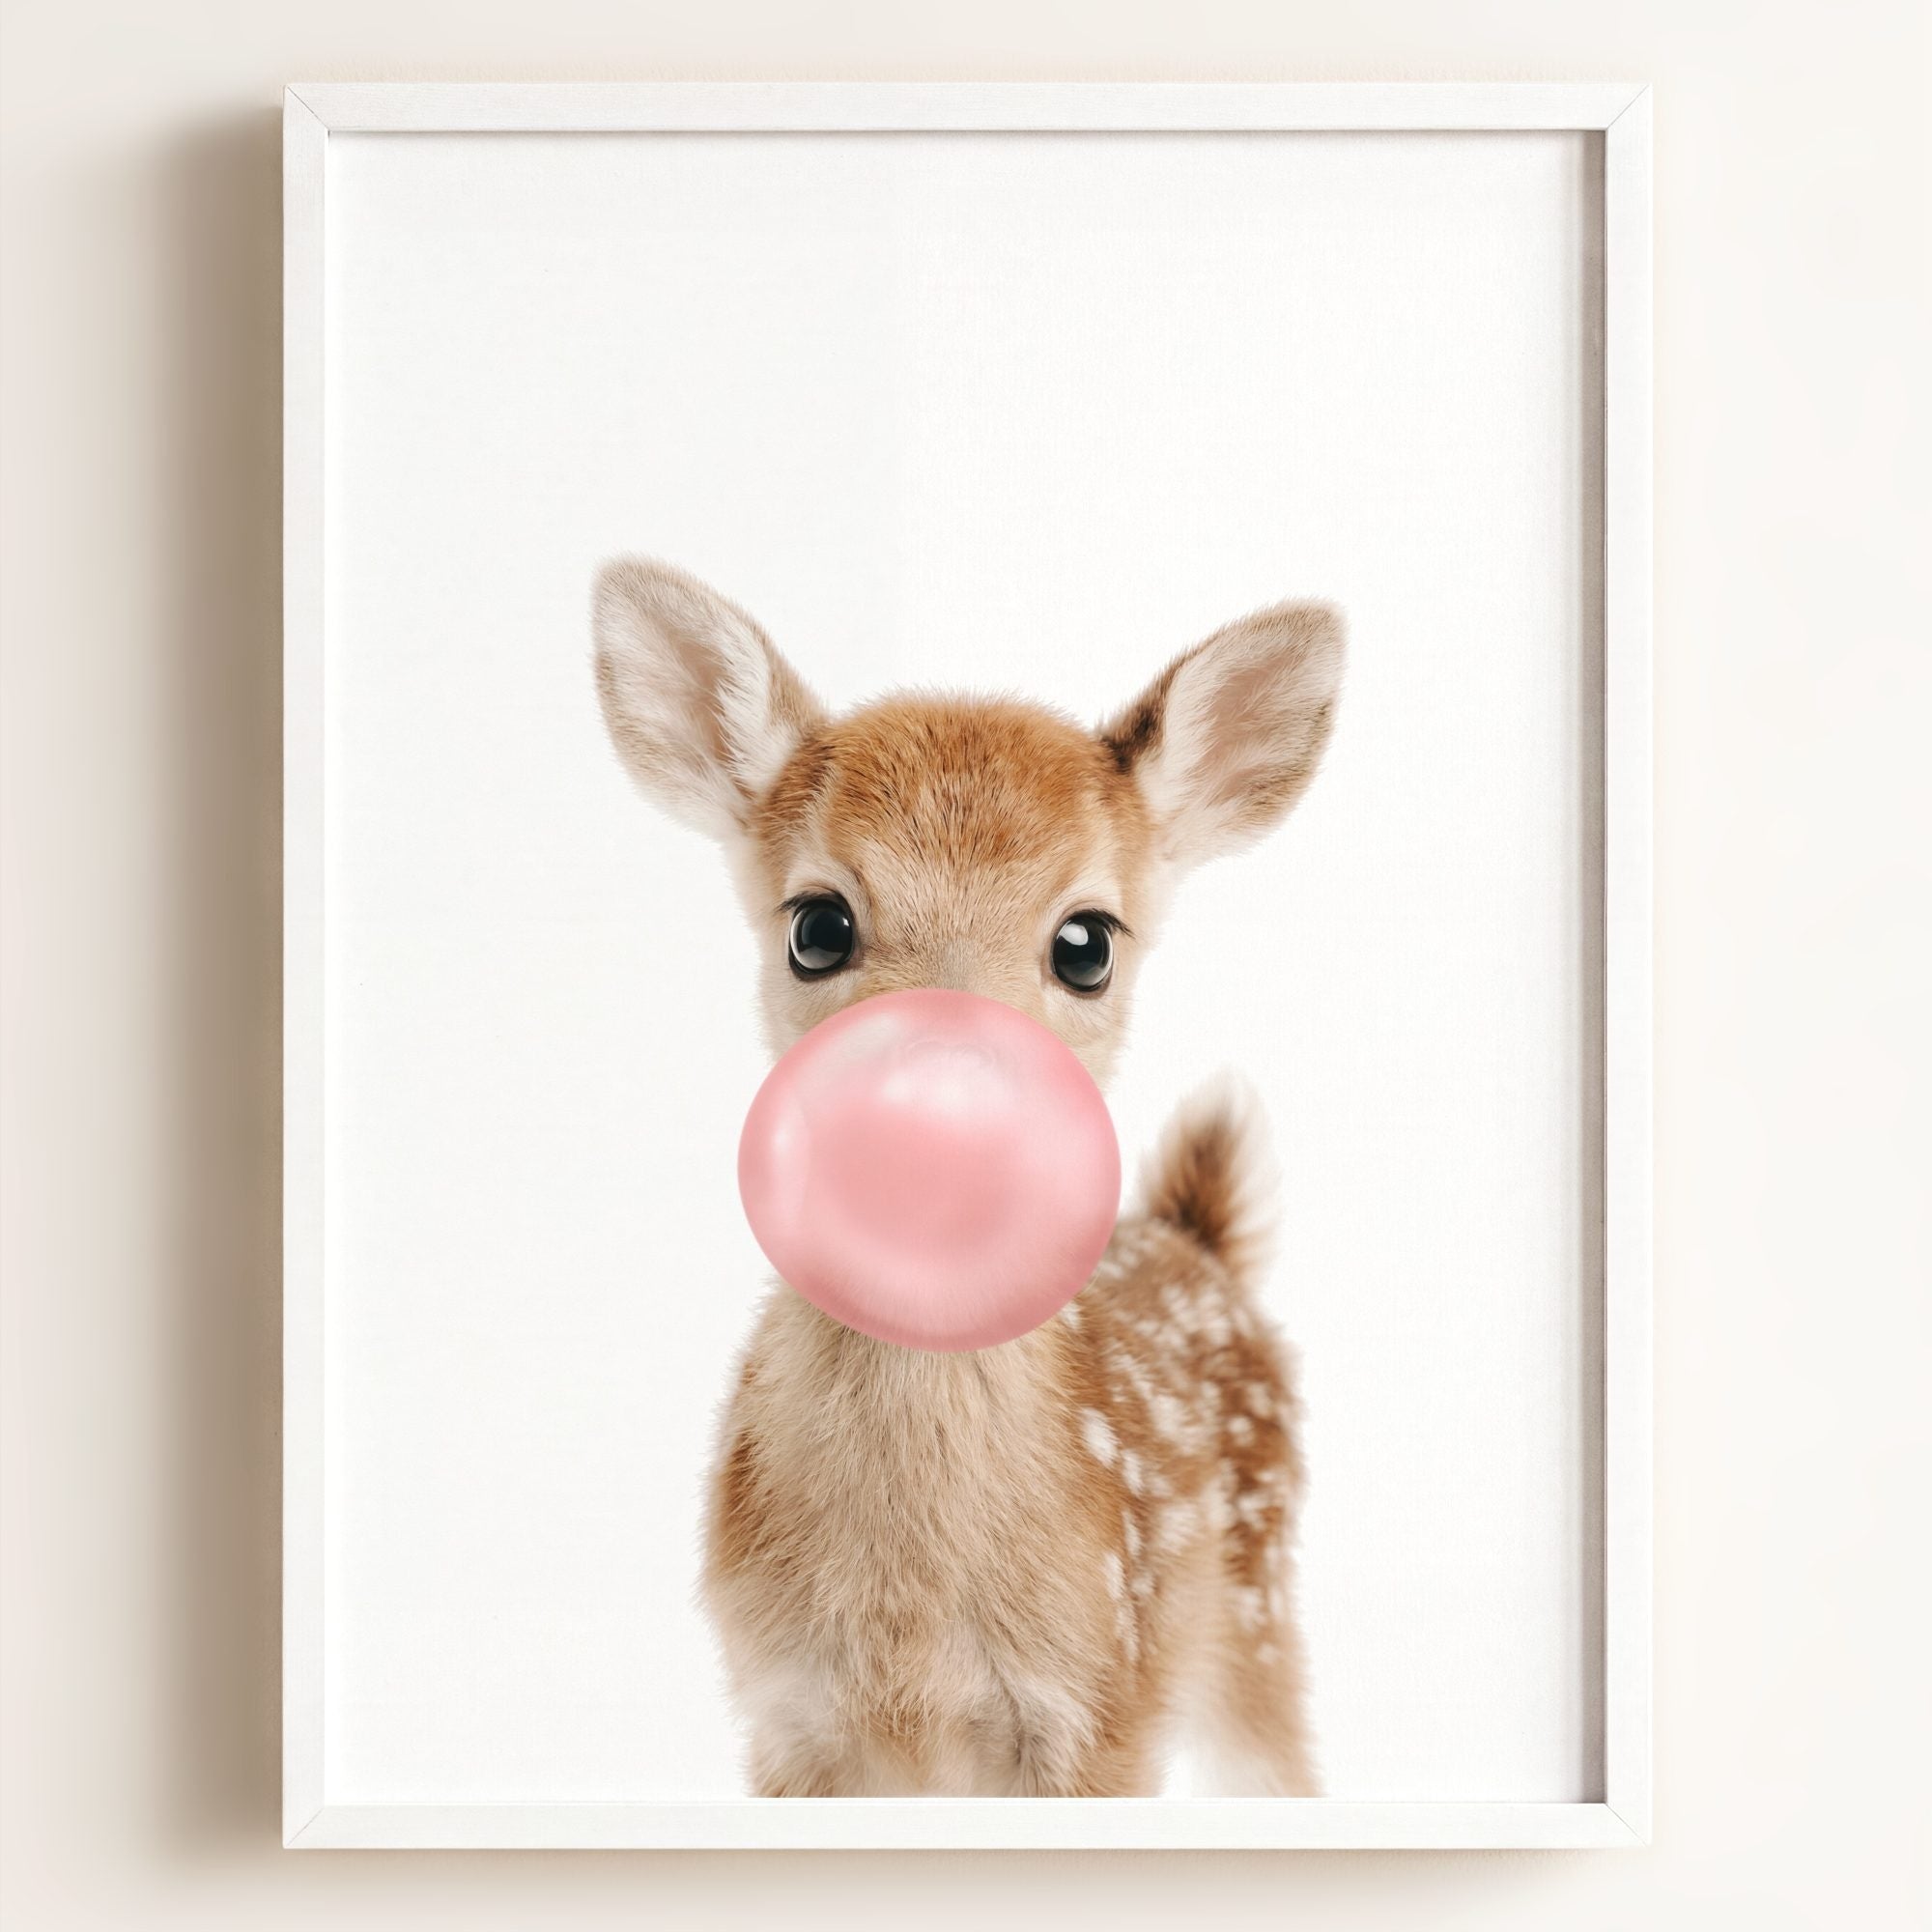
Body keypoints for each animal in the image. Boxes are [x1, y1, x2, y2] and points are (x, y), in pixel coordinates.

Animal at [593, 558, 1344, 1797]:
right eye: (817, 924)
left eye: (1086, 942)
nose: (942, 1101)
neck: (910, 1626)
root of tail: (1198, 1238)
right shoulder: (783, 1718)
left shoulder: (1103, 1706)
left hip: (1259, 1614)